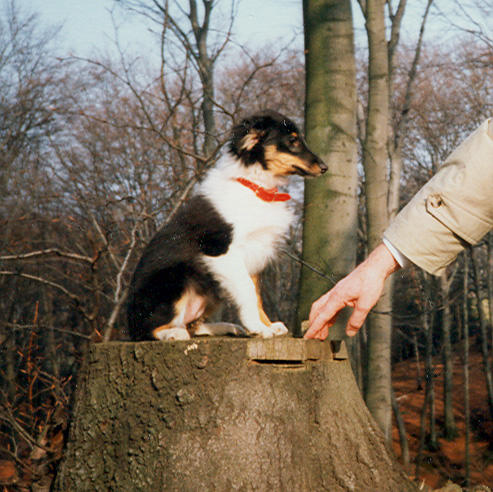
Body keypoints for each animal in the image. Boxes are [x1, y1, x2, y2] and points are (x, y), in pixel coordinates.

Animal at [127, 109, 326, 340]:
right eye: (292, 140)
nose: (325, 168)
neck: (256, 187)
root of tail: (130, 324)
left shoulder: (255, 252)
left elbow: (256, 295)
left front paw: (268, 326)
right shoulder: (223, 252)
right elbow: (248, 290)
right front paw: (257, 328)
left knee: (193, 326)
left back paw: (228, 327)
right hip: (178, 279)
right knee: (152, 329)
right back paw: (174, 333)